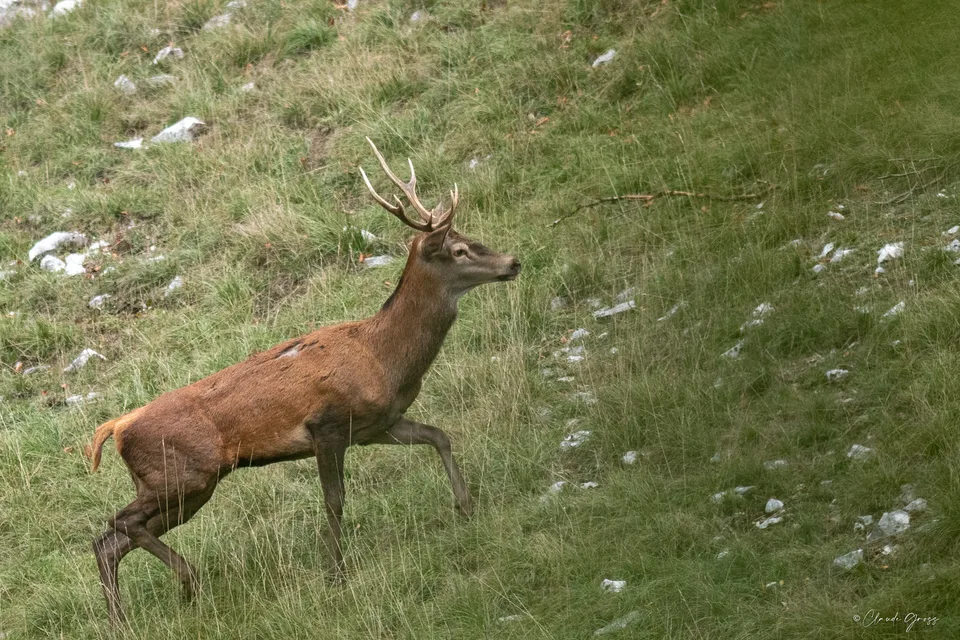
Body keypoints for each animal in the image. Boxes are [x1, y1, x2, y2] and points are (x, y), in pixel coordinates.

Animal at [88, 138, 521, 623]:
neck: (384, 357)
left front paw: (466, 507)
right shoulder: (327, 426)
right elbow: (335, 500)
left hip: (177, 486)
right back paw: (187, 580)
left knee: (110, 542)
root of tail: (117, 427)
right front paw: (336, 573)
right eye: (459, 250)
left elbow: (439, 435)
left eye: (470, 239)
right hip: (185, 476)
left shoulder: (378, 425)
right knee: (117, 523)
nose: (514, 262)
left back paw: (122, 619)